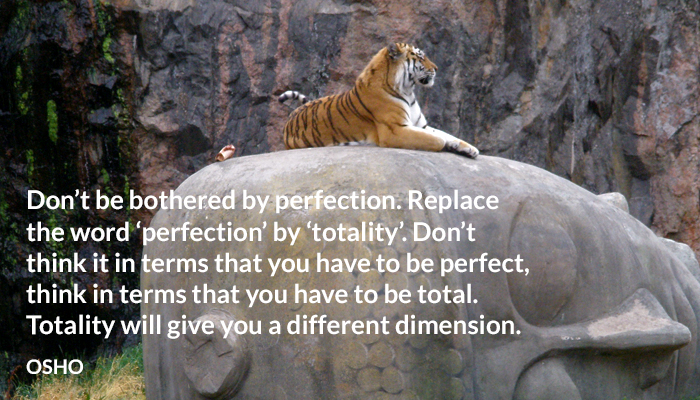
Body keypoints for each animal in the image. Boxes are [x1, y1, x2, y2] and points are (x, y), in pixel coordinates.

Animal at [278, 43, 479, 159]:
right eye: (421, 57)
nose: (436, 68)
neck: (408, 90)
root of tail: (290, 117)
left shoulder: (420, 125)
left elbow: (447, 135)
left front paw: (470, 149)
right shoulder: (395, 130)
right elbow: (437, 139)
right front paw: (445, 144)